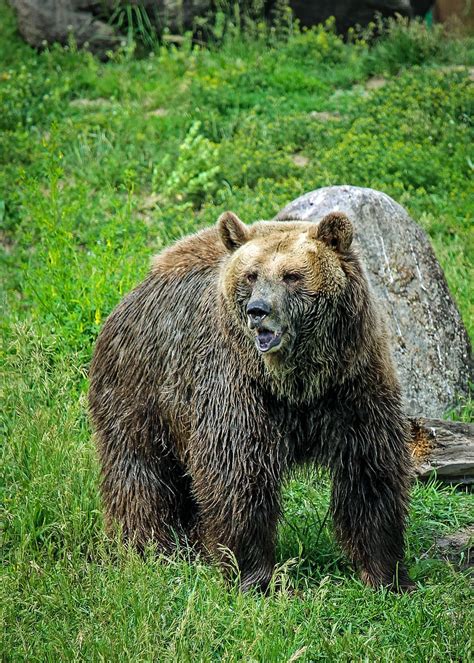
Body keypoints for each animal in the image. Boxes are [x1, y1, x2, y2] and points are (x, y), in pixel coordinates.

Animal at [90, 211, 414, 592]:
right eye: (251, 274)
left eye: (292, 275)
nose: (257, 310)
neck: (298, 382)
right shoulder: (238, 387)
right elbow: (238, 473)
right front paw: (253, 576)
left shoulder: (353, 382)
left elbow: (370, 469)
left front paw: (386, 574)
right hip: (139, 390)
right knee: (139, 472)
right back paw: (149, 546)